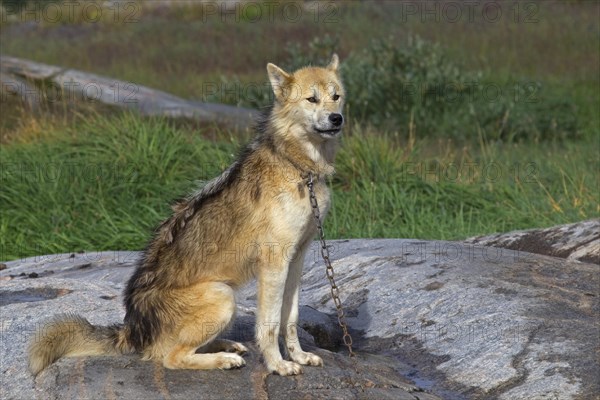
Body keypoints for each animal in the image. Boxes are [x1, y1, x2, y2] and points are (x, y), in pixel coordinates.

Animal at [29, 54, 346, 376]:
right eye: (311, 99)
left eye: (336, 97)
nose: (337, 119)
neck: (298, 167)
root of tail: (131, 330)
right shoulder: (274, 262)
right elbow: (269, 325)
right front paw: (277, 365)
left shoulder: (296, 259)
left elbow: (289, 320)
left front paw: (299, 356)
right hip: (223, 295)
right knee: (172, 357)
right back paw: (223, 359)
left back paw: (227, 346)